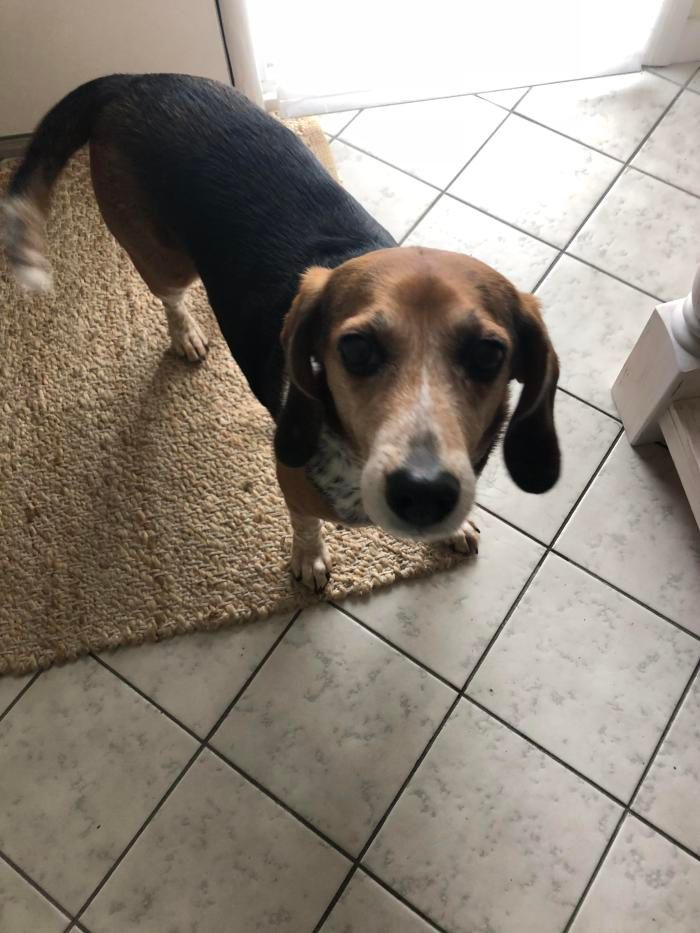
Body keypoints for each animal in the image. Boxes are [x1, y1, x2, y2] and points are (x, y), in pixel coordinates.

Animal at [0, 78, 556, 588]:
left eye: (488, 355)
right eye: (355, 349)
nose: (422, 492)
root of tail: (135, 81)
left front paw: (451, 530)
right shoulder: (291, 478)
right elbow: (305, 524)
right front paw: (309, 562)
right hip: (161, 258)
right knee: (171, 296)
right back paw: (187, 335)